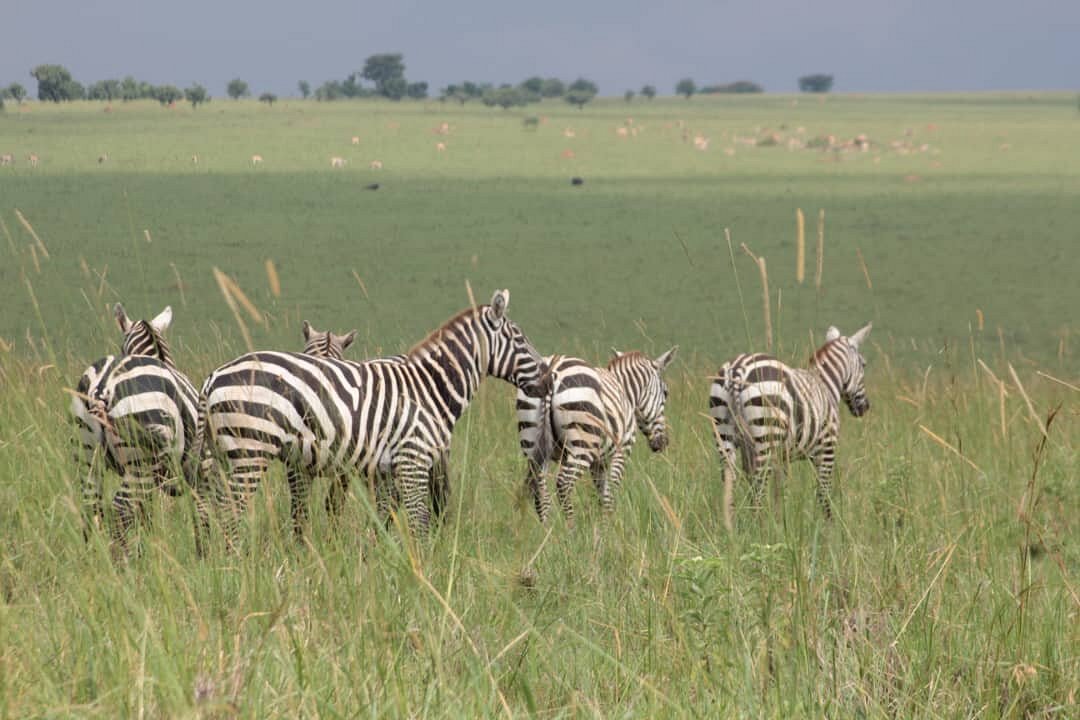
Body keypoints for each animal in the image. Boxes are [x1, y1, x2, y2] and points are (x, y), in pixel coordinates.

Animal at [70, 304, 199, 546]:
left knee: (91, 508)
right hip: (140, 464)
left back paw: (93, 554)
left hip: (87, 455)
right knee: (121, 509)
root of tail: (103, 386)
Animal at [191, 289, 548, 548]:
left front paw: (384, 566)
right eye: (520, 340)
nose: (546, 378)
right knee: (231, 512)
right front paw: (420, 573)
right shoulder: (412, 460)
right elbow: (418, 523)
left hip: (219, 457)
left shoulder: (387, 471)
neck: (428, 387)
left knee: (210, 508)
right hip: (250, 451)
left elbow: (384, 522)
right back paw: (235, 565)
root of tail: (212, 378)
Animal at [514, 347, 673, 524]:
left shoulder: (598, 461)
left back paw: (548, 530)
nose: (663, 443)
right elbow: (611, 492)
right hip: (581, 445)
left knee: (541, 492)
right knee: (564, 485)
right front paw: (611, 526)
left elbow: (603, 496)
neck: (626, 392)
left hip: (532, 442)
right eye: (666, 393)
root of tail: (552, 369)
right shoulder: (622, 450)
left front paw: (603, 525)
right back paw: (571, 529)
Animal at [708, 323, 876, 520]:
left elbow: (781, 493)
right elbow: (823, 493)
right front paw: (828, 525)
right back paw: (758, 525)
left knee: (730, 484)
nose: (865, 407)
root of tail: (737, 368)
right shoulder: (827, 447)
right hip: (766, 436)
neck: (826, 384)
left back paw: (732, 525)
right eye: (864, 364)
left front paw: (782, 521)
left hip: (724, 432)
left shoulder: (783, 457)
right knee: (758, 488)